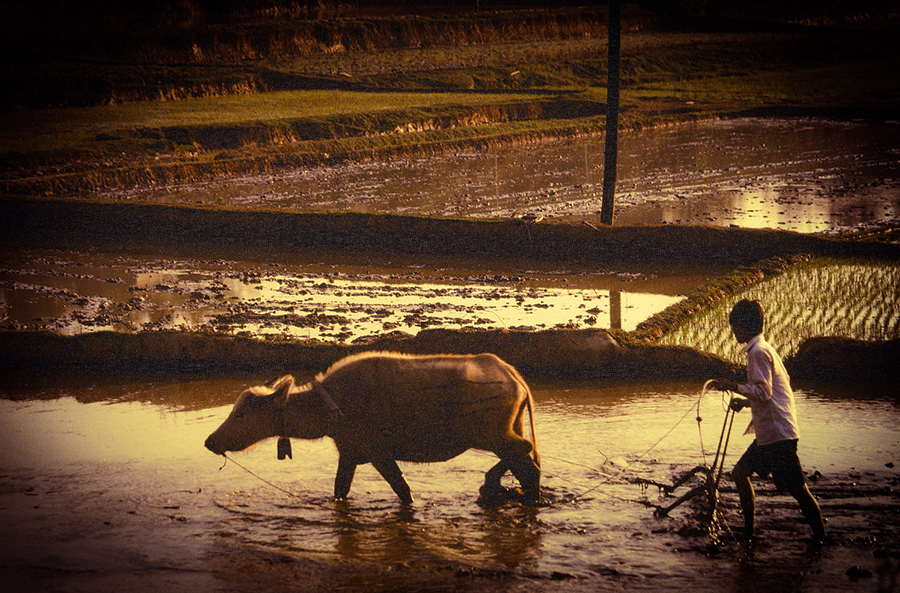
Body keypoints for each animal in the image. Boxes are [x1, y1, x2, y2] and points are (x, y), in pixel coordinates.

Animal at [205, 352, 540, 504]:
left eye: (240, 414)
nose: (210, 442)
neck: (331, 407)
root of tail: (513, 377)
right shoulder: (349, 455)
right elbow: (339, 490)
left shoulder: (379, 454)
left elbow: (403, 490)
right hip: (509, 430)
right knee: (529, 466)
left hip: (493, 436)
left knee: (524, 452)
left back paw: (489, 485)